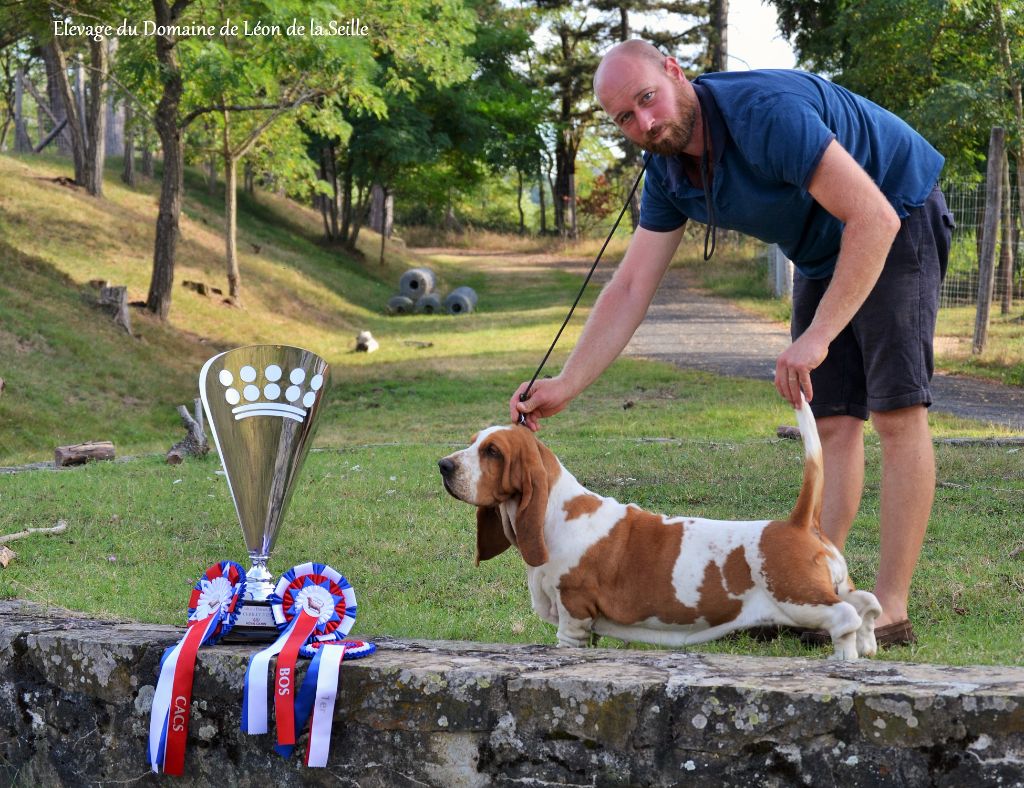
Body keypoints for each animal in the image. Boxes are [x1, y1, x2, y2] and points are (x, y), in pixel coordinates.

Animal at [438, 399, 880, 654]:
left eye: (493, 452)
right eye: (473, 441)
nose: (443, 465)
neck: (557, 513)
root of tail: (798, 523)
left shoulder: (574, 612)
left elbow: (568, 642)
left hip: (797, 599)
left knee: (846, 616)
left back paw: (845, 658)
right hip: (825, 588)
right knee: (867, 603)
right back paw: (868, 648)